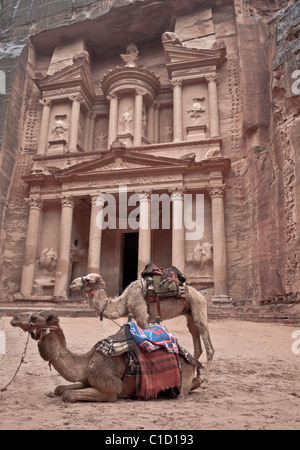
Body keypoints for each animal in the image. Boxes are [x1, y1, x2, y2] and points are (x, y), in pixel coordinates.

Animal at [10, 312, 200, 402]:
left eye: (35, 317)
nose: (14, 318)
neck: (86, 361)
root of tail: (191, 359)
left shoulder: (110, 387)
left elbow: (68, 395)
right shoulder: (88, 378)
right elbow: (60, 389)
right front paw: (55, 391)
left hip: (182, 381)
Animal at [69, 272, 216, 382]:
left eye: (88, 279)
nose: (72, 283)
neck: (125, 300)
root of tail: (201, 296)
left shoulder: (142, 316)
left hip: (198, 308)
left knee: (209, 345)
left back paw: (205, 379)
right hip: (189, 313)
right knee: (197, 344)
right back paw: (193, 376)